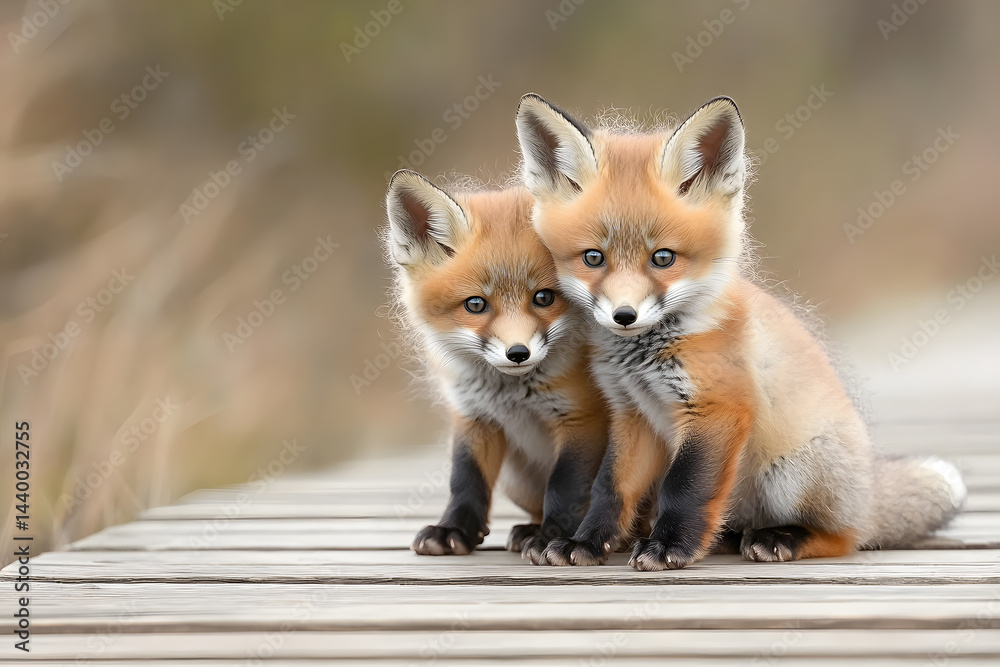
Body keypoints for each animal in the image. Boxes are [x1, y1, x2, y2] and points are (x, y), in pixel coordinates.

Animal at [384, 169, 609, 559]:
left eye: (544, 297)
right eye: (475, 304)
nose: (517, 353)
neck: (512, 393)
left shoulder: (581, 416)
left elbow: (564, 486)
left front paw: (550, 537)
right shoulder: (473, 415)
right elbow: (465, 478)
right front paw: (452, 529)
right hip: (516, 481)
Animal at [513, 93, 967, 570]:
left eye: (663, 258)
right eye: (593, 258)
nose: (624, 315)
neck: (644, 357)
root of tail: (869, 493)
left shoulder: (718, 408)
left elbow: (684, 487)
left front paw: (668, 547)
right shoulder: (631, 413)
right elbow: (610, 487)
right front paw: (586, 542)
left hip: (792, 474)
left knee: (846, 538)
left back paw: (783, 537)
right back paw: (728, 537)